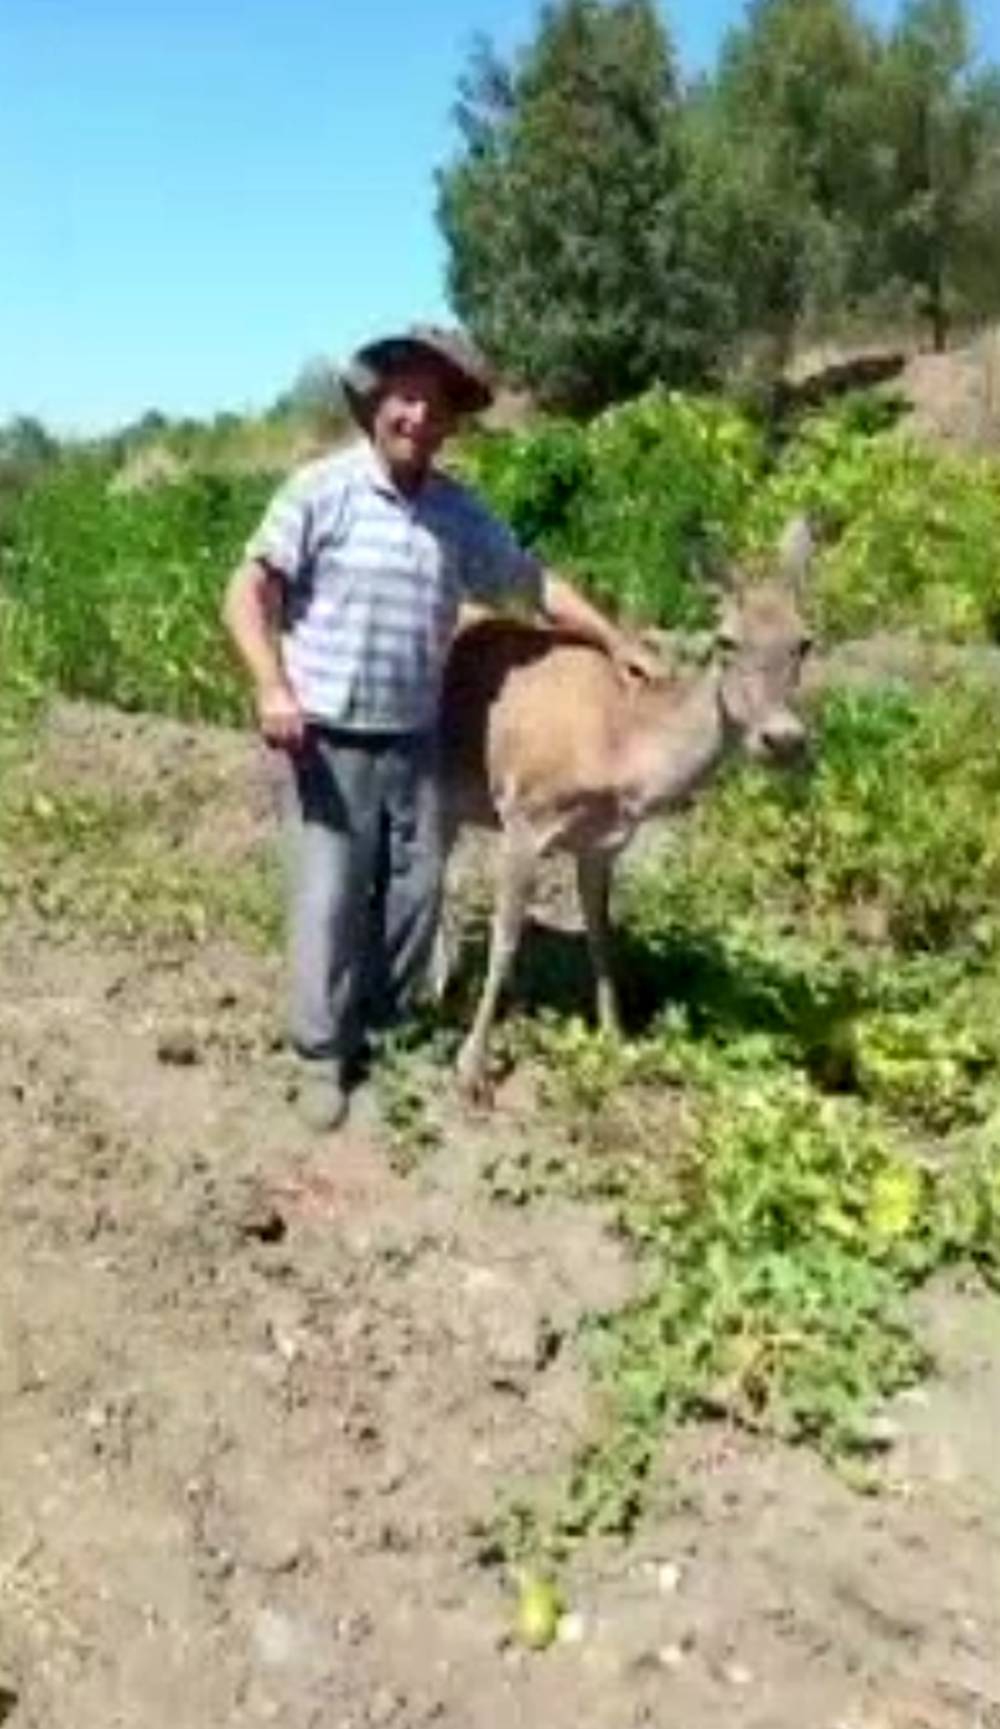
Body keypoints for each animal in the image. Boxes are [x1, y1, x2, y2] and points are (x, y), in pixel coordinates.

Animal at [435, 518, 809, 1099]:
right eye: (725, 640)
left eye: (805, 642)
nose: (783, 739)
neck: (621, 750)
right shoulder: (525, 814)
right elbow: (505, 940)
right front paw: (472, 1067)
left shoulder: (602, 842)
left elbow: (601, 936)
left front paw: (615, 1039)